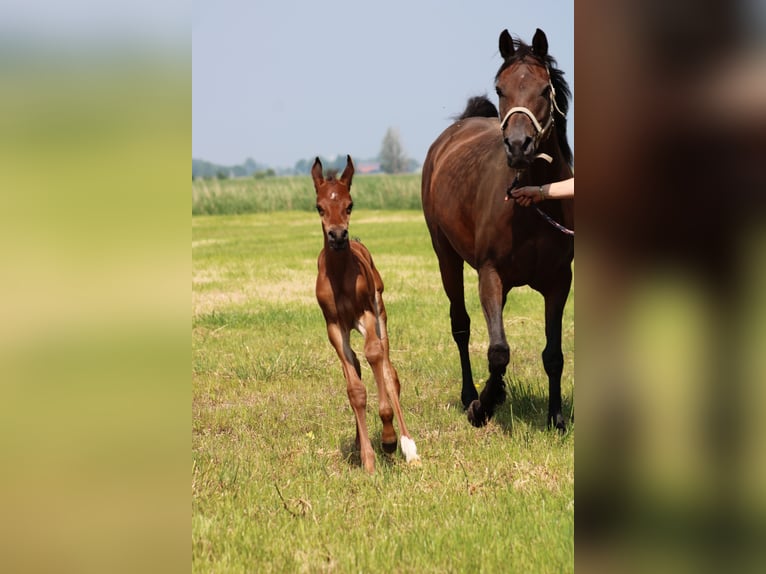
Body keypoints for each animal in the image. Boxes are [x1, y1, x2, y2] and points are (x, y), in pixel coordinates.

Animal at [312, 155, 420, 474]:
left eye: (350, 205)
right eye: (319, 206)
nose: (337, 235)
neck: (339, 276)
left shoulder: (366, 315)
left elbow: (375, 358)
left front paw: (389, 439)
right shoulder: (335, 327)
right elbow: (355, 390)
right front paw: (368, 459)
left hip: (380, 311)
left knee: (389, 371)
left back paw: (408, 446)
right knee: (360, 369)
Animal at [420, 29, 576, 430]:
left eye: (544, 88)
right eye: (500, 88)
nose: (518, 146)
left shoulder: (559, 282)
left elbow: (553, 354)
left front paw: (556, 418)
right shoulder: (490, 274)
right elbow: (499, 350)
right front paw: (483, 406)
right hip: (446, 256)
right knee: (461, 326)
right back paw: (470, 395)